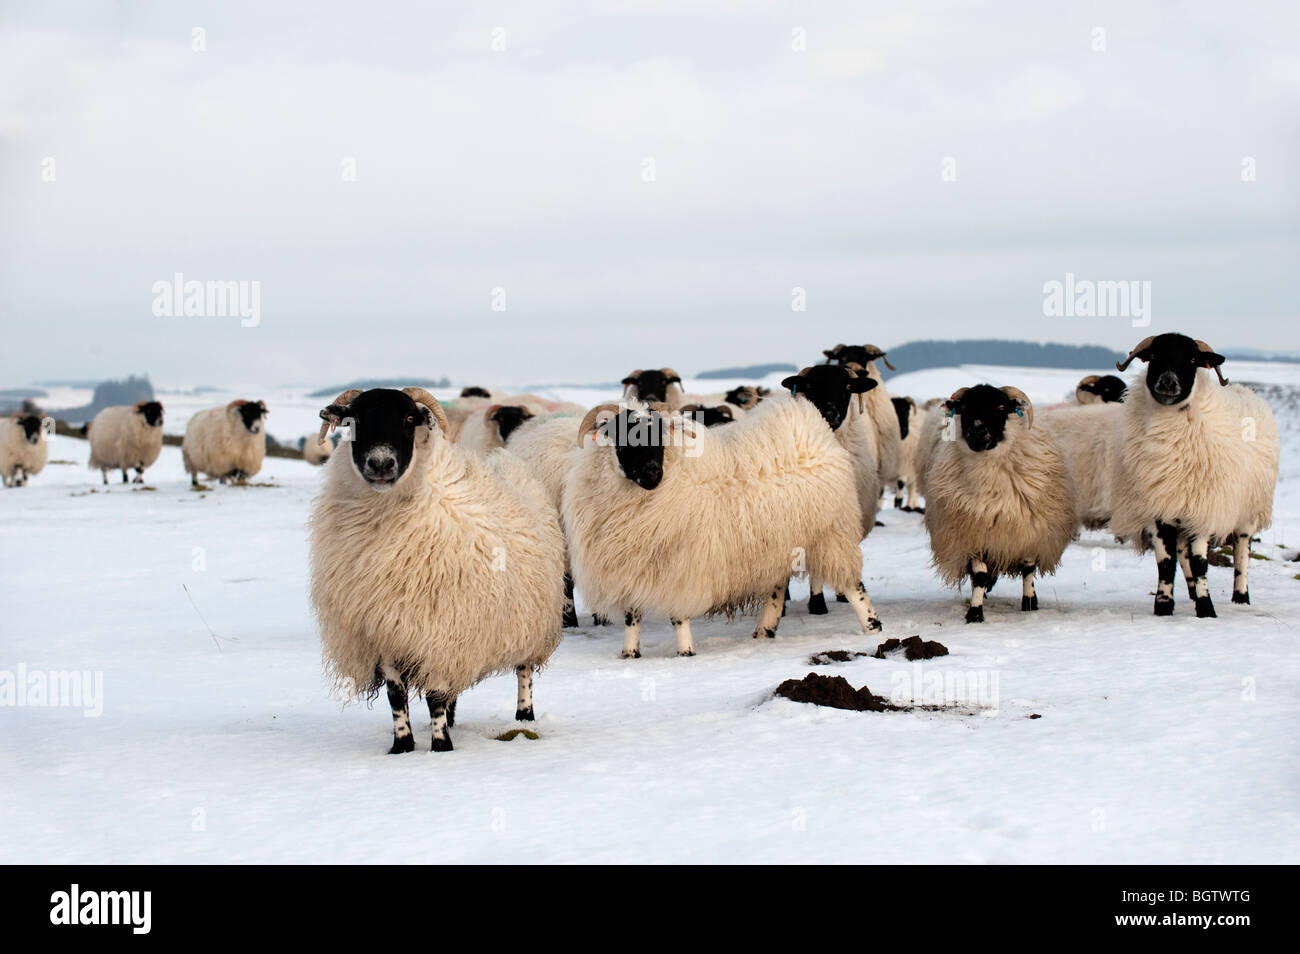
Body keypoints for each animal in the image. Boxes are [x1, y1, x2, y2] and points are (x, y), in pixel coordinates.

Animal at [310, 389, 569, 753]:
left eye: (409, 418)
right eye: (353, 419)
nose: (380, 464)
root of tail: (507, 461)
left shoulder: (442, 627)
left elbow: (434, 695)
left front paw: (441, 747)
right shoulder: (383, 629)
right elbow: (396, 696)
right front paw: (402, 745)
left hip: (530, 617)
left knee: (524, 671)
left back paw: (523, 716)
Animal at [561, 395, 883, 657]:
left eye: (661, 434)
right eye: (622, 434)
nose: (653, 472)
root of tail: (814, 429)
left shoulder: (680, 566)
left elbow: (678, 616)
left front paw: (685, 652)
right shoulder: (630, 567)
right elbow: (632, 617)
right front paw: (629, 654)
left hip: (832, 535)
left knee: (853, 586)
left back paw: (873, 627)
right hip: (780, 544)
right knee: (777, 589)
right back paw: (764, 631)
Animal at [920, 384, 1071, 623]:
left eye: (1000, 406)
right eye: (964, 407)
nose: (977, 432)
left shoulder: (1029, 531)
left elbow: (1028, 569)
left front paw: (1029, 604)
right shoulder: (973, 534)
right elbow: (980, 575)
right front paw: (975, 613)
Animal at [1107, 335, 1279, 621]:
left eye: (1191, 359)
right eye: (1154, 355)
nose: (1167, 382)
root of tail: (1246, 390)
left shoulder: (1203, 508)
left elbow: (1200, 563)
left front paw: (1206, 609)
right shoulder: (1159, 509)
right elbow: (1166, 563)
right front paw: (1164, 607)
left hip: (1248, 509)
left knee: (1242, 552)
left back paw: (1241, 597)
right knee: (1181, 551)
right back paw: (1189, 592)